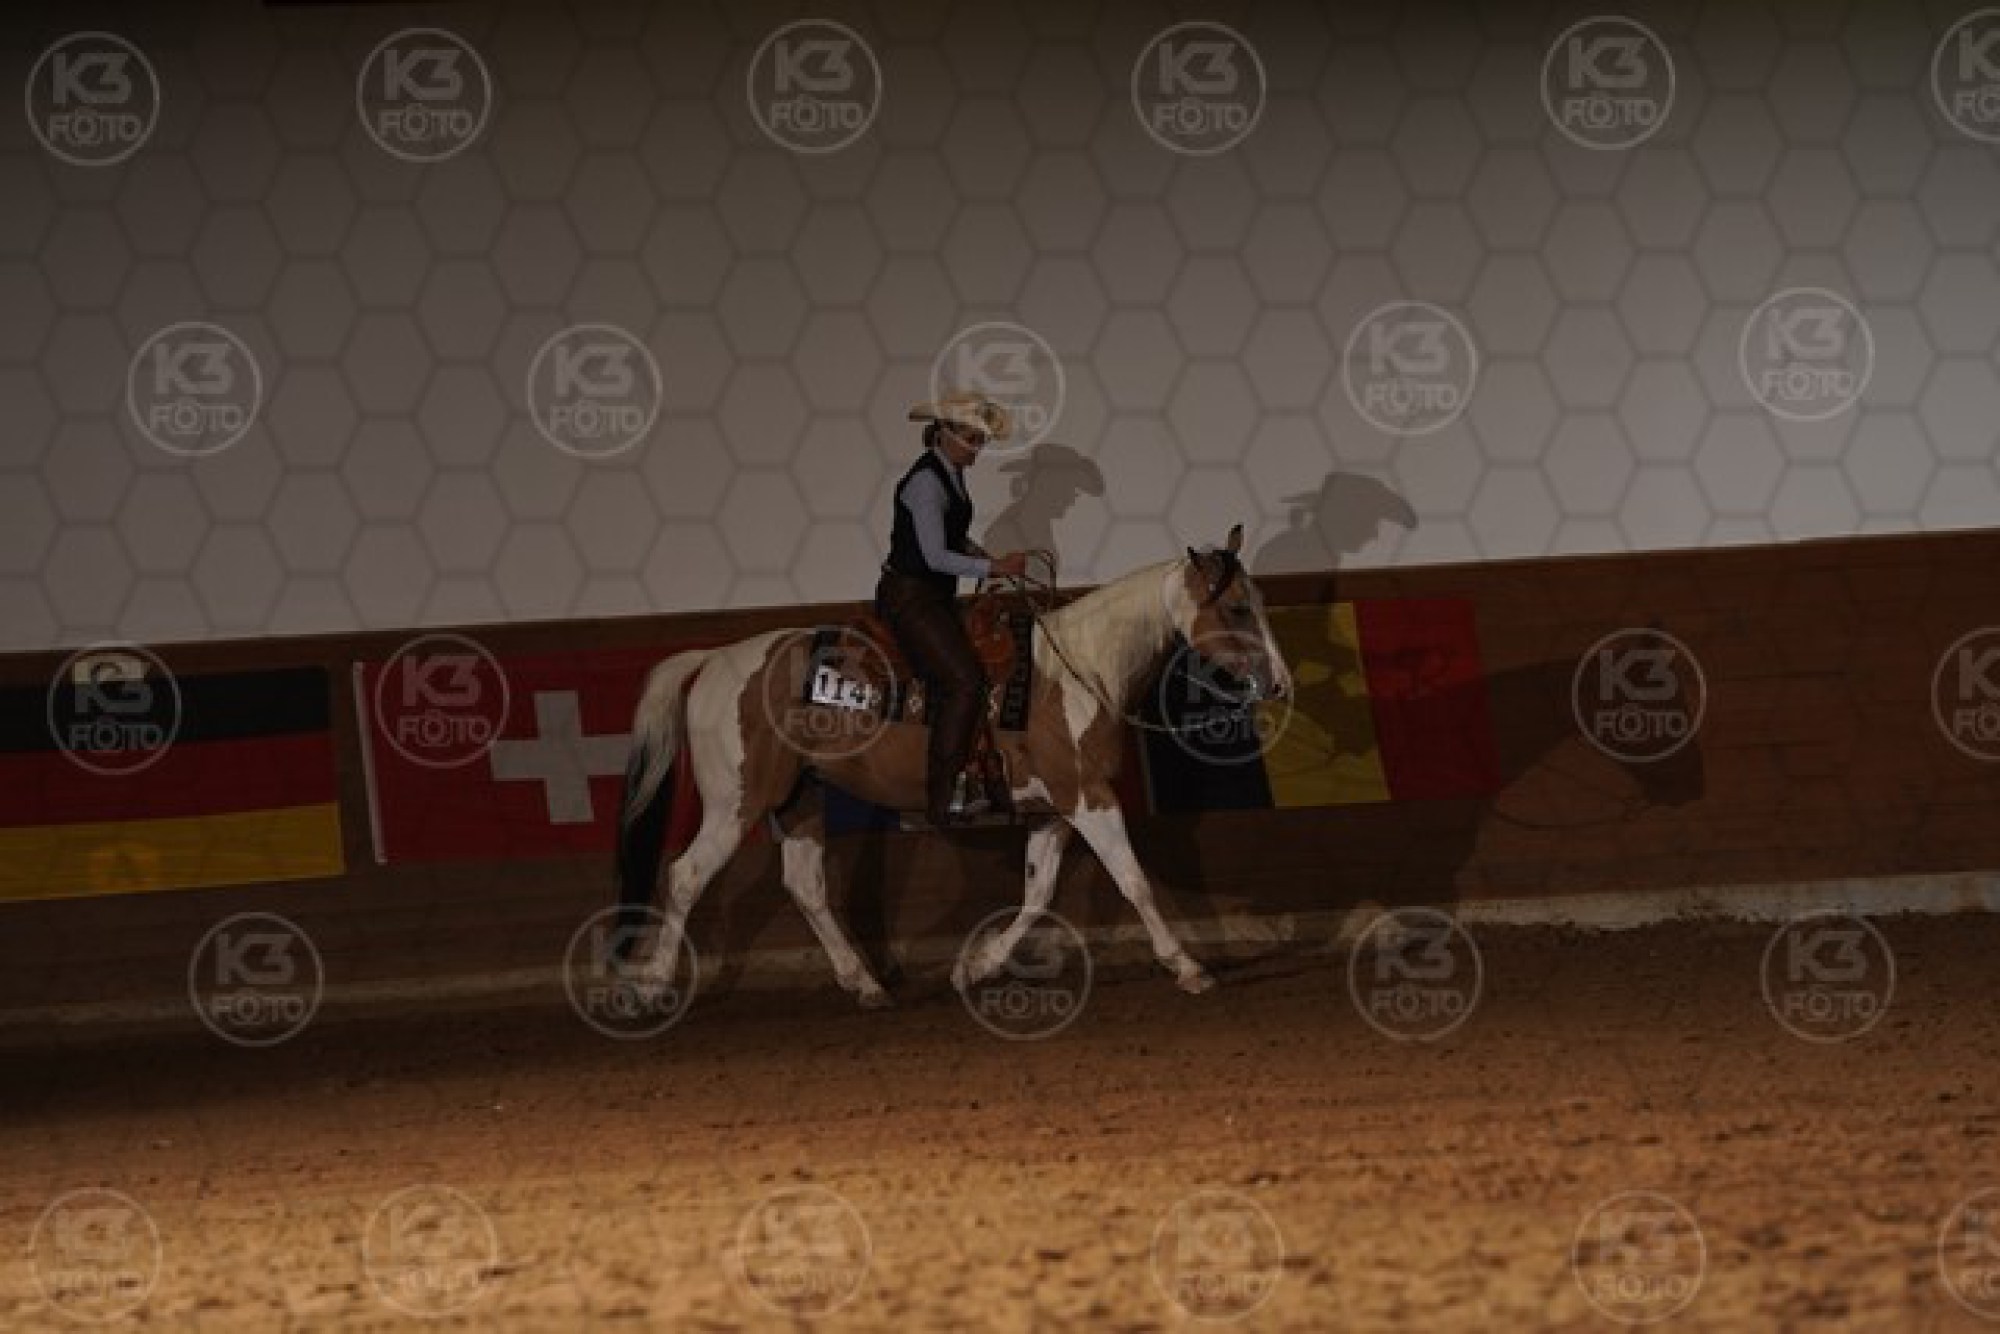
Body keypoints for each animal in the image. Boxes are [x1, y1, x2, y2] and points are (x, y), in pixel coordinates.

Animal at [612, 524, 1295, 1008]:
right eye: (1237, 608)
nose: (1280, 685)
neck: (1081, 667)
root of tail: (714, 658)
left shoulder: (1052, 809)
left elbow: (1038, 894)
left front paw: (976, 966)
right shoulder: (1088, 795)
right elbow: (1133, 880)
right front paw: (1189, 968)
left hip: (796, 799)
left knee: (805, 887)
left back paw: (866, 985)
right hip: (737, 802)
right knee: (686, 875)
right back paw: (652, 984)